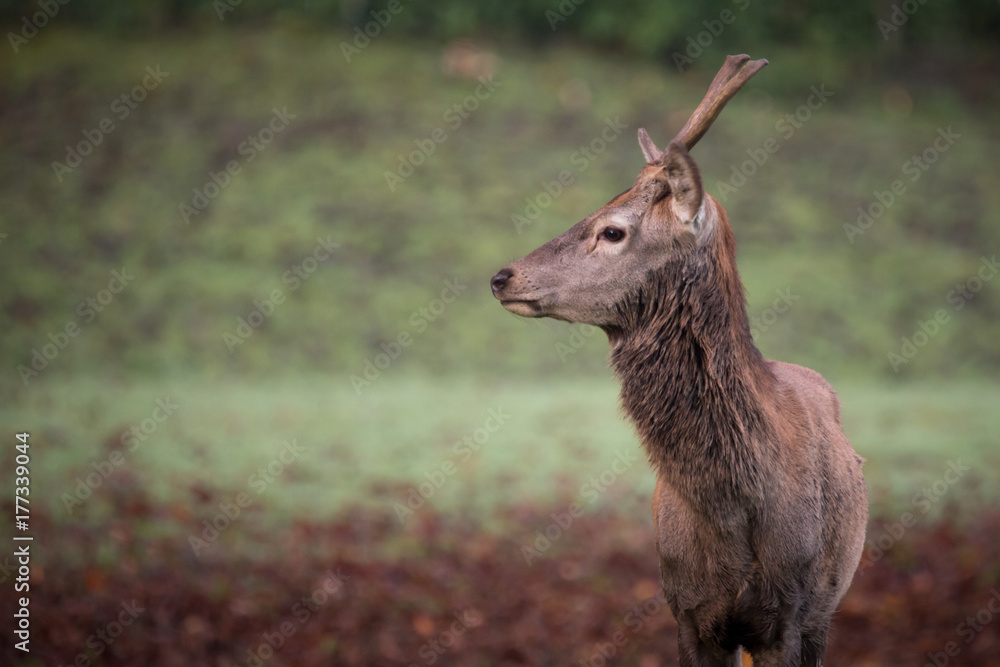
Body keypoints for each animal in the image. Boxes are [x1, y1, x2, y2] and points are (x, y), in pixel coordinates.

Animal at [490, 55, 868, 666]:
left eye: (613, 230)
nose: (503, 277)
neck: (737, 510)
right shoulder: (687, 611)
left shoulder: (787, 618)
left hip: (824, 610)